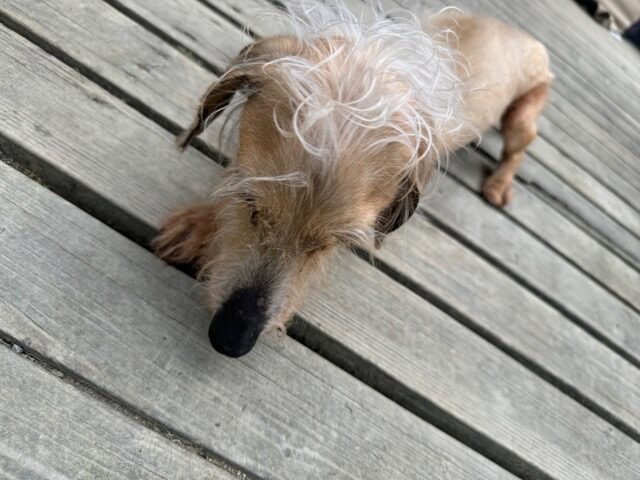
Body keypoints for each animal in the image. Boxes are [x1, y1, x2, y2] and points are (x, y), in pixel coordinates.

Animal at [154, 1, 553, 358]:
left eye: (332, 243)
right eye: (251, 205)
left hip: (522, 119)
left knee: (517, 150)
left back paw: (499, 184)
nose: (231, 339)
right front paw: (200, 223)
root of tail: (530, 40)